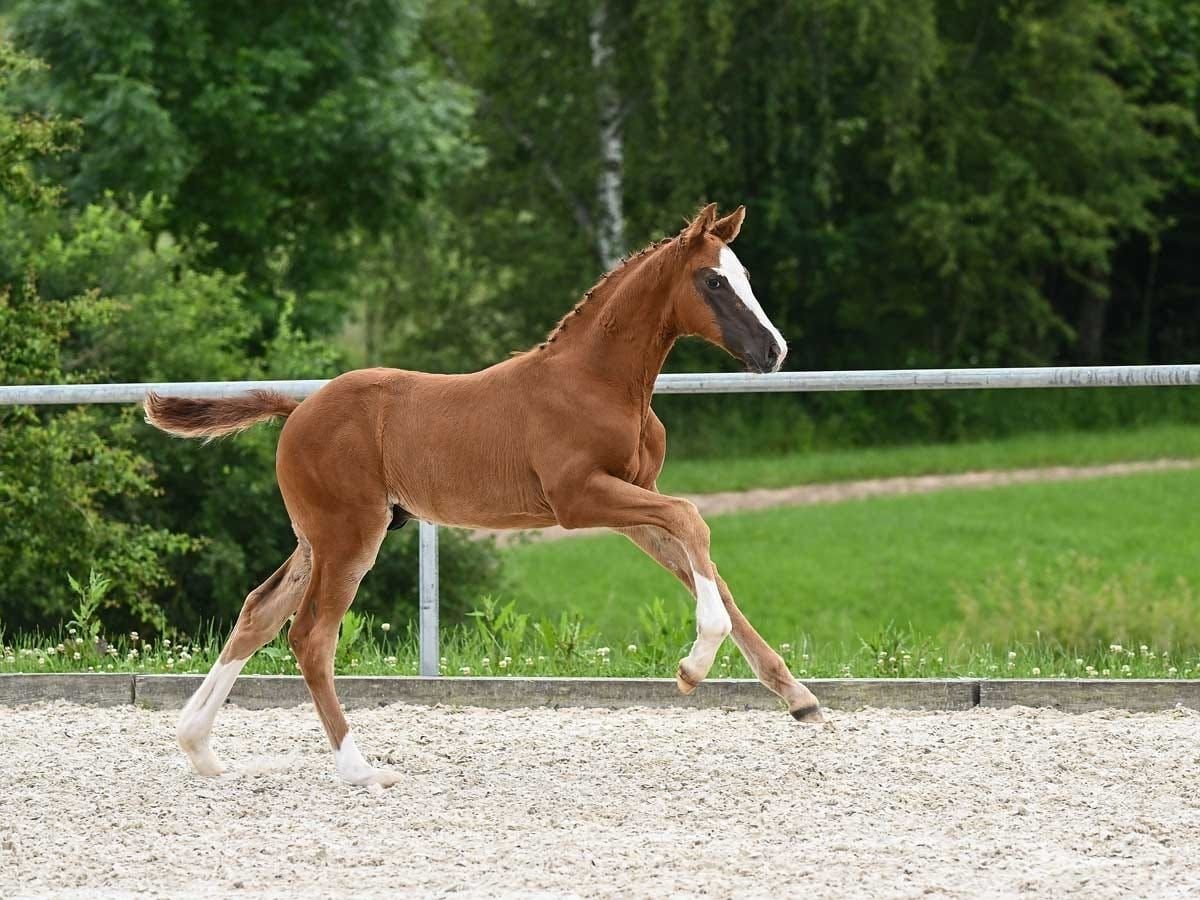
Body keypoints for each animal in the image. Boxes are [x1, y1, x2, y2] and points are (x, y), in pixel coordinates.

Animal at [145, 206, 825, 787]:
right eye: (713, 280)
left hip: (320, 537)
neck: (596, 381)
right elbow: (693, 521)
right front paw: (692, 668)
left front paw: (799, 699)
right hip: (348, 536)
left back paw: (199, 748)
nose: (774, 351)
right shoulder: (581, 499)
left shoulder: (634, 500)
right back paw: (360, 769)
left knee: (258, 611)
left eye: (743, 276)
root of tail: (299, 408)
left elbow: (704, 563)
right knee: (310, 635)